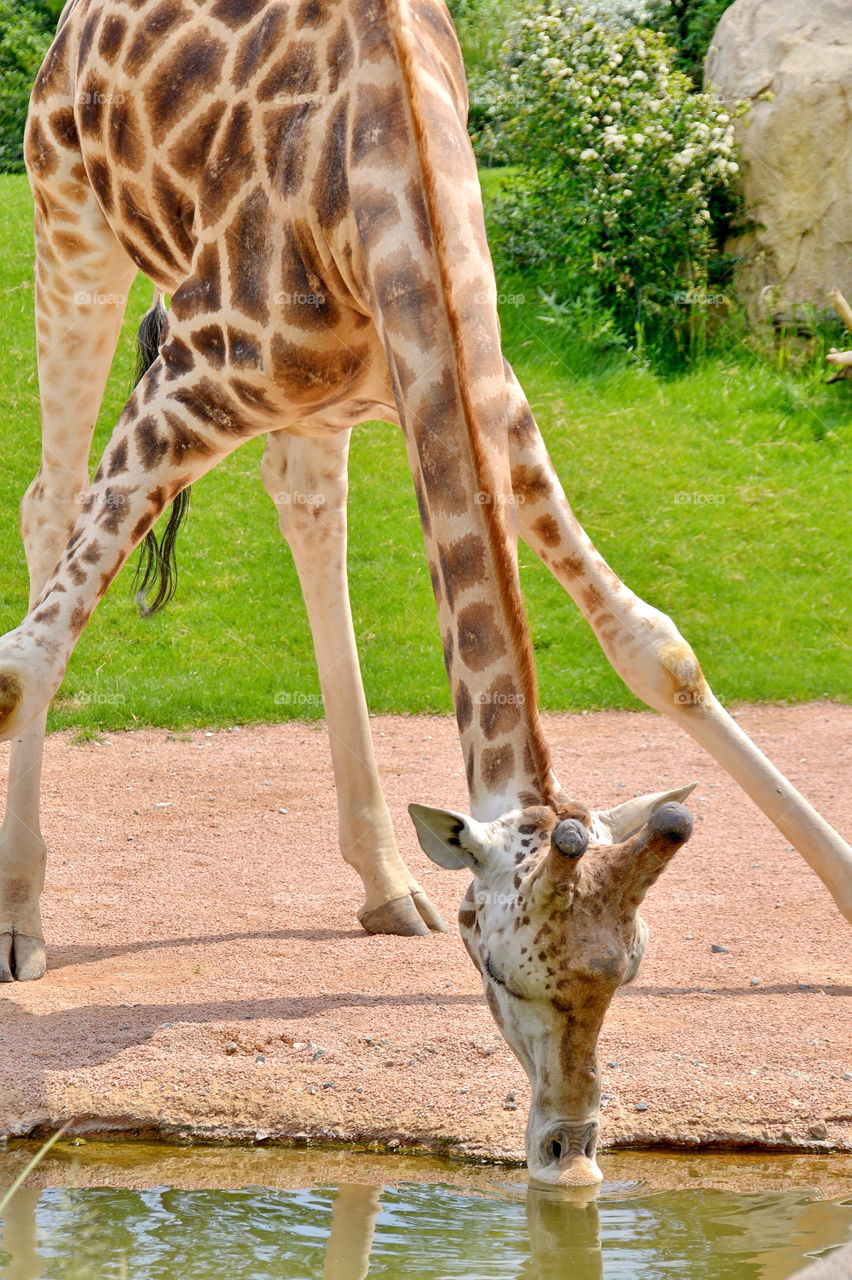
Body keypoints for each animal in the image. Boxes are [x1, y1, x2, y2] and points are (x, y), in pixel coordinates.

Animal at [0, 0, 850, 1186]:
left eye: (629, 965)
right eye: (494, 966)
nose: (569, 1149)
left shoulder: (492, 399)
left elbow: (656, 649)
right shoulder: (188, 383)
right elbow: (22, 661)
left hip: (318, 399)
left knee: (306, 499)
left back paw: (380, 879)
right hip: (67, 218)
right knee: (50, 500)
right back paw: (24, 920)